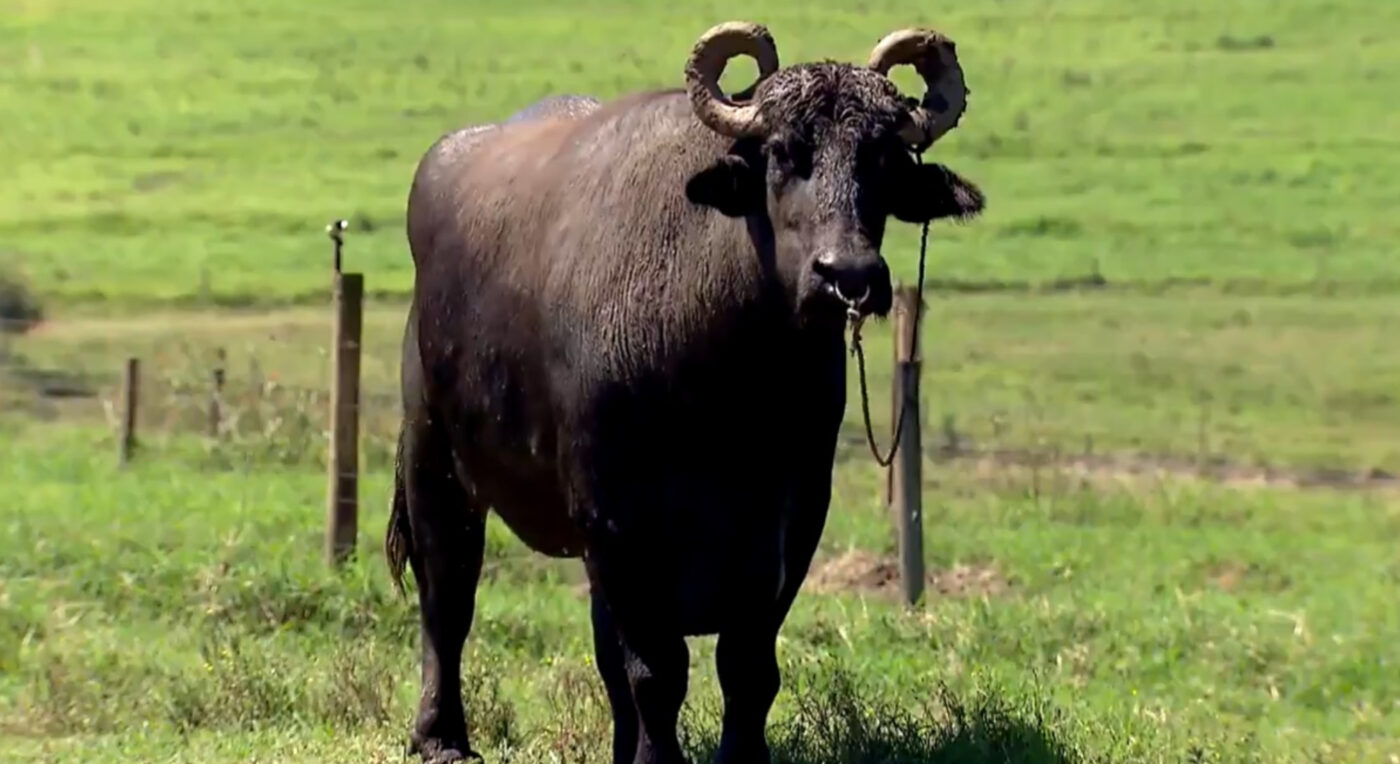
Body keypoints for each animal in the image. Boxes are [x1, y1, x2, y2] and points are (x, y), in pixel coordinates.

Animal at [386, 20, 985, 761]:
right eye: (783, 154)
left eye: (883, 160)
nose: (848, 275)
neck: (726, 382)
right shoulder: (617, 518)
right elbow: (656, 668)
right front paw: (656, 756)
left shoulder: (793, 515)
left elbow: (746, 665)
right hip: (434, 459)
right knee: (448, 599)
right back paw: (441, 735)